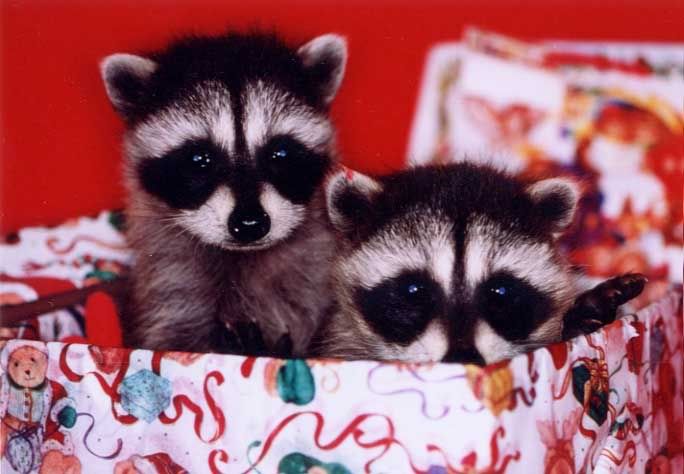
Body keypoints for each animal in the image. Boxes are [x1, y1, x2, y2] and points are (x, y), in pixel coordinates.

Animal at [100, 32, 347, 355]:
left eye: (280, 154)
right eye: (199, 160)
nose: (250, 224)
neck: (241, 257)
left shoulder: (313, 275)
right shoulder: (171, 284)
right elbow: (173, 337)